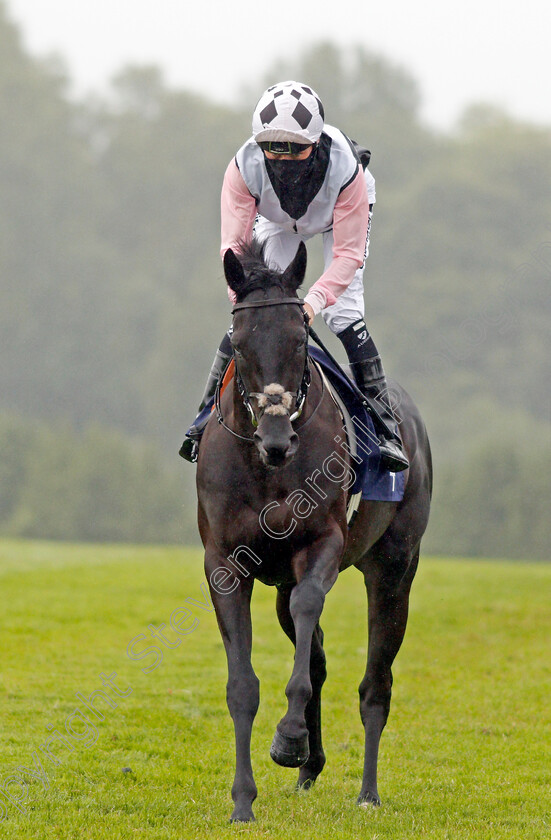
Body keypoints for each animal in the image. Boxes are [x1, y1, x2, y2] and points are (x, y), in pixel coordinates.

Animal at [196, 240, 434, 824]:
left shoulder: (321, 544)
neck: (265, 466)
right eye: (238, 342)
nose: (277, 439)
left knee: (375, 683)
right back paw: (310, 764)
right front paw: (244, 800)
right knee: (319, 653)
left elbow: (310, 614)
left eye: (300, 337)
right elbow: (243, 684)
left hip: (394, 567)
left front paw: (287, 738)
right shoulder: (223, 563)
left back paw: (367, 790)